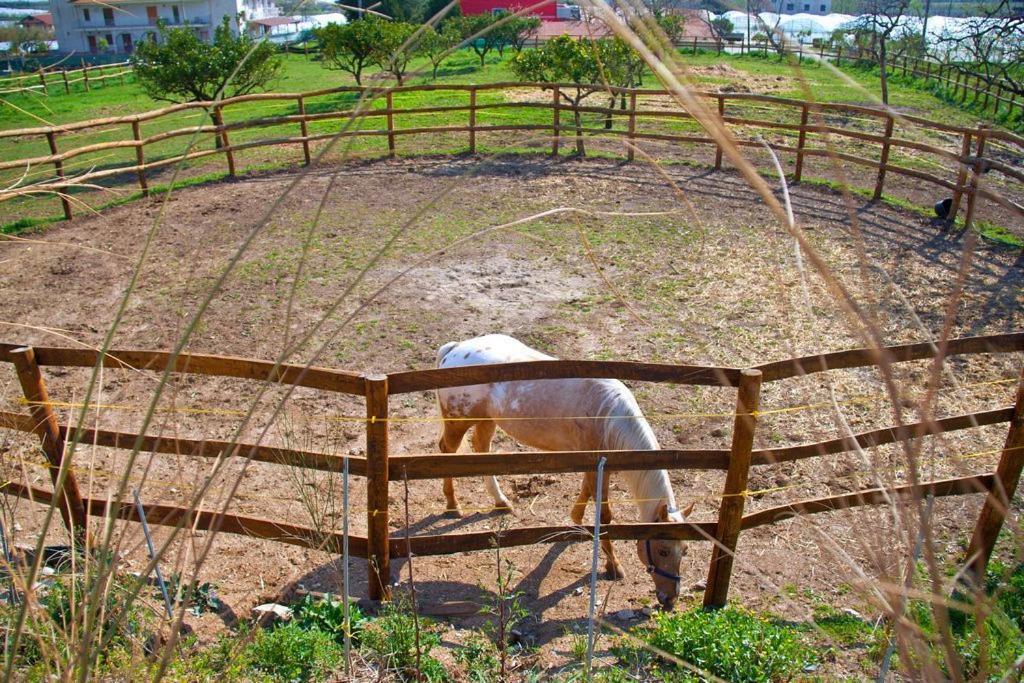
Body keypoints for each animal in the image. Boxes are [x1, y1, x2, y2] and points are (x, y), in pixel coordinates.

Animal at [436, 335, 692, 610]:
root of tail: (454, 349)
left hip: (487, 421)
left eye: (685, 550)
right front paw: (613, 565)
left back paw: (500, 501)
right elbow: (604, 514)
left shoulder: (596, 464)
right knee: (446, 452)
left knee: (482, 450)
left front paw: (576, 520)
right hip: (457, 424)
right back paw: (452, 505)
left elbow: (586, 491)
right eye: (663, 550)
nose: (670, 599)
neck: (608, 414)